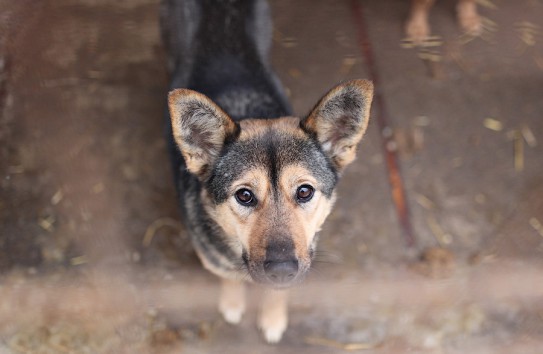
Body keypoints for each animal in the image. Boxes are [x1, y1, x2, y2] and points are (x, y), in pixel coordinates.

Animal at [160, 0, 374, 342]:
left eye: (305, 191)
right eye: (244, 196)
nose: (282, 269)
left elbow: (277, 292)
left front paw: (273, 317)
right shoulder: (215, 260)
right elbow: (229, 277)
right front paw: (233, 303)